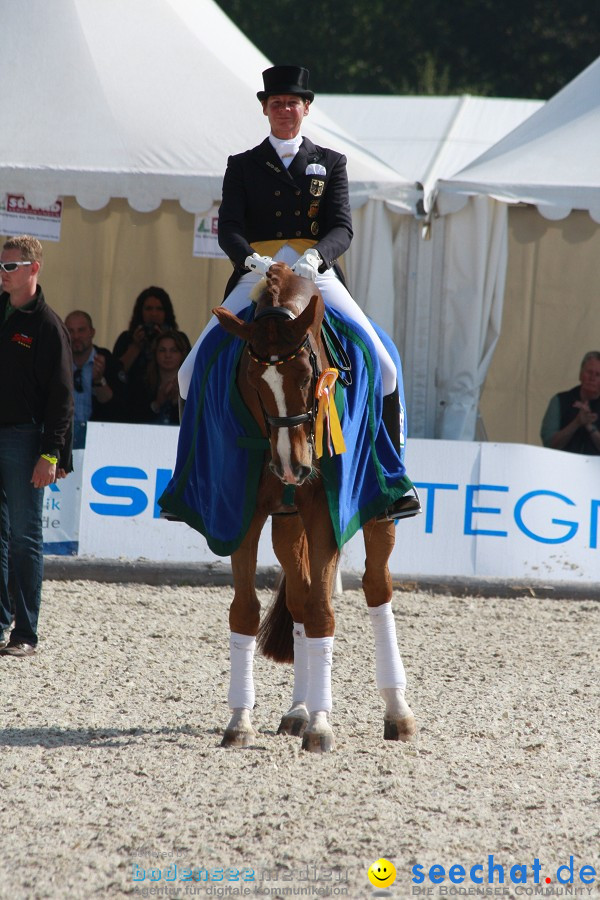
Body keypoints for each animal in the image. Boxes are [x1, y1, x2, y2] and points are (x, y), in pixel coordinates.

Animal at [209, 262, 414, 752]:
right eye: (252, 381)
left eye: (308, 375)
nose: (292, 466)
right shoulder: (242, 512)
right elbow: (245, 610)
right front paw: (240, 721)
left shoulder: (326, 512)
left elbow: (324, 611)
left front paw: (322, 726)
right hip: (287, 523)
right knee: (299, 598)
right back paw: (297, 711)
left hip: (376, 513)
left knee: (377, 588)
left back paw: (397, 712)